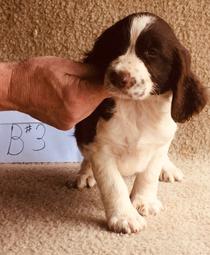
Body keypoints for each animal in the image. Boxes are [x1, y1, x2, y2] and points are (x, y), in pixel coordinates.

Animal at [72, 12, 207, 234]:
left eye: (151, 53)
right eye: (115, 48)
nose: (119, 76)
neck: (137, 108)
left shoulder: (159, 143)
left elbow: (149, 175)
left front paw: (145, 202)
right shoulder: (101, 148)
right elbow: (113, 184)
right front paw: (124, 217)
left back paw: (168, 169)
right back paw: (85, 173)